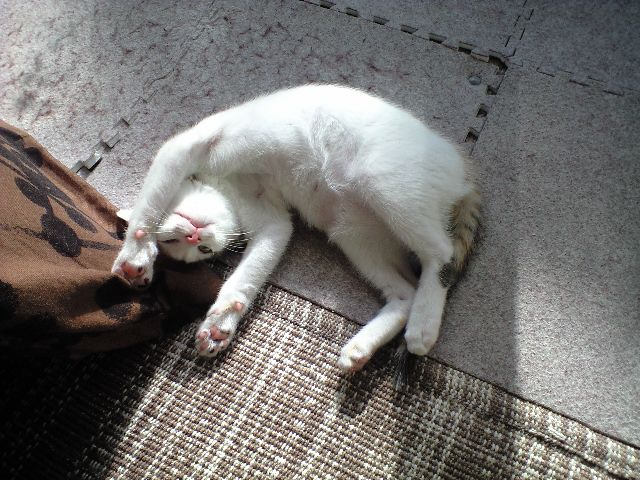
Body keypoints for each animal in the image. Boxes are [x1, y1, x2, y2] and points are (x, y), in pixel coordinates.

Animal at [112, 84, 480, 372]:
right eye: (194, 247)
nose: (194, 235)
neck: (228, 185)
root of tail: (462, 167)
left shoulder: (194, 143)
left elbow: (149, 204)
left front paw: (135, 255)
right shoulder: (272, 222)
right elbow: (251, 271)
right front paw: (220, 324)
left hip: (385, 181)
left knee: (443, 254)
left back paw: (423, 326)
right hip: (355, 234)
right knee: (404, 292)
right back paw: (361, 348)